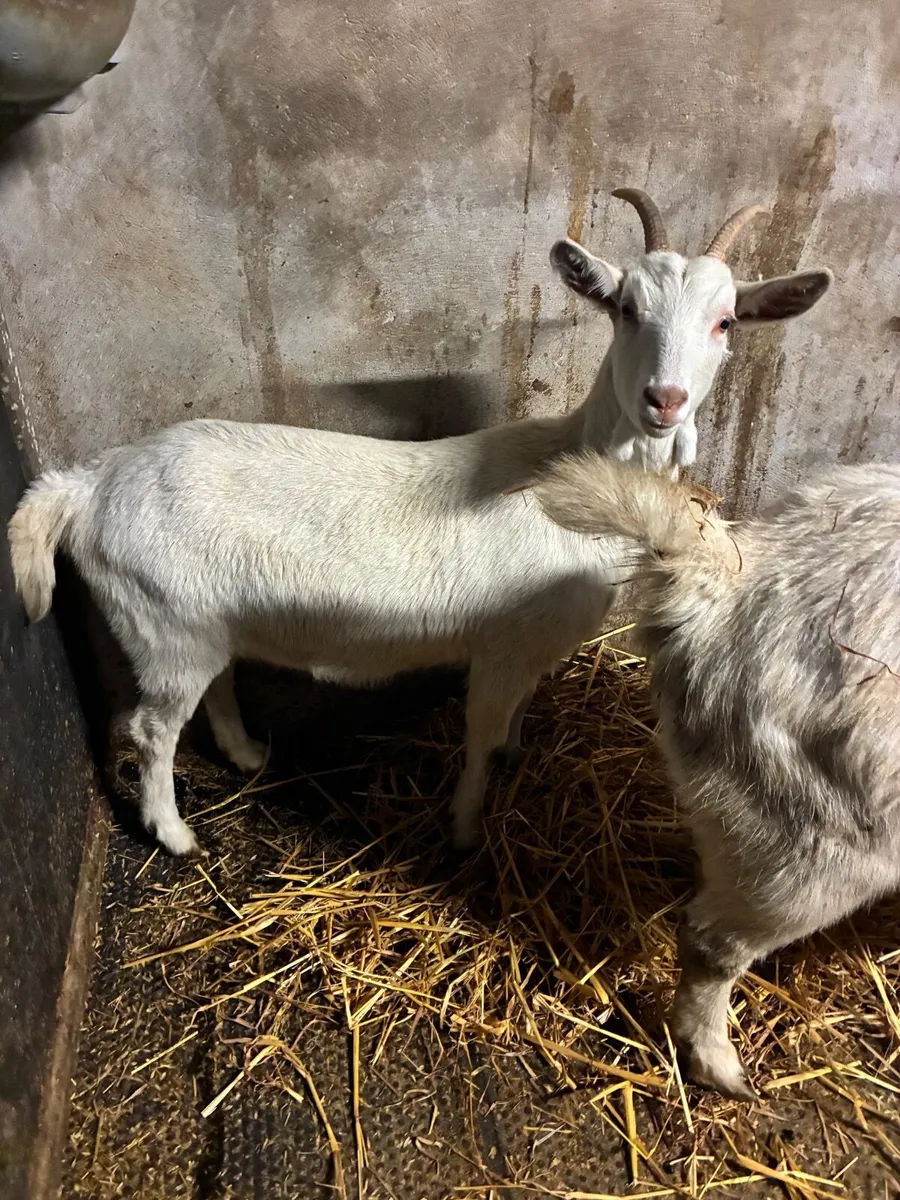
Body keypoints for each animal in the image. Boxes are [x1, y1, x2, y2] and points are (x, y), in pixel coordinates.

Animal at [8, 191, 829, 858]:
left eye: (726, 321)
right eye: (626, 309)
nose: (666, 400)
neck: (569, 468)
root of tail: (88, 483)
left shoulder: (535, 646)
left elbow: (518, 717)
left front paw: (518, 758)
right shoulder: (500, 648)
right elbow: (480, 734)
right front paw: (465, 834)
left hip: (200, 623)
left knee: (216, 685)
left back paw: (244, 754)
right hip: (161, 622)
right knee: (152, 729)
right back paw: (174, 835)